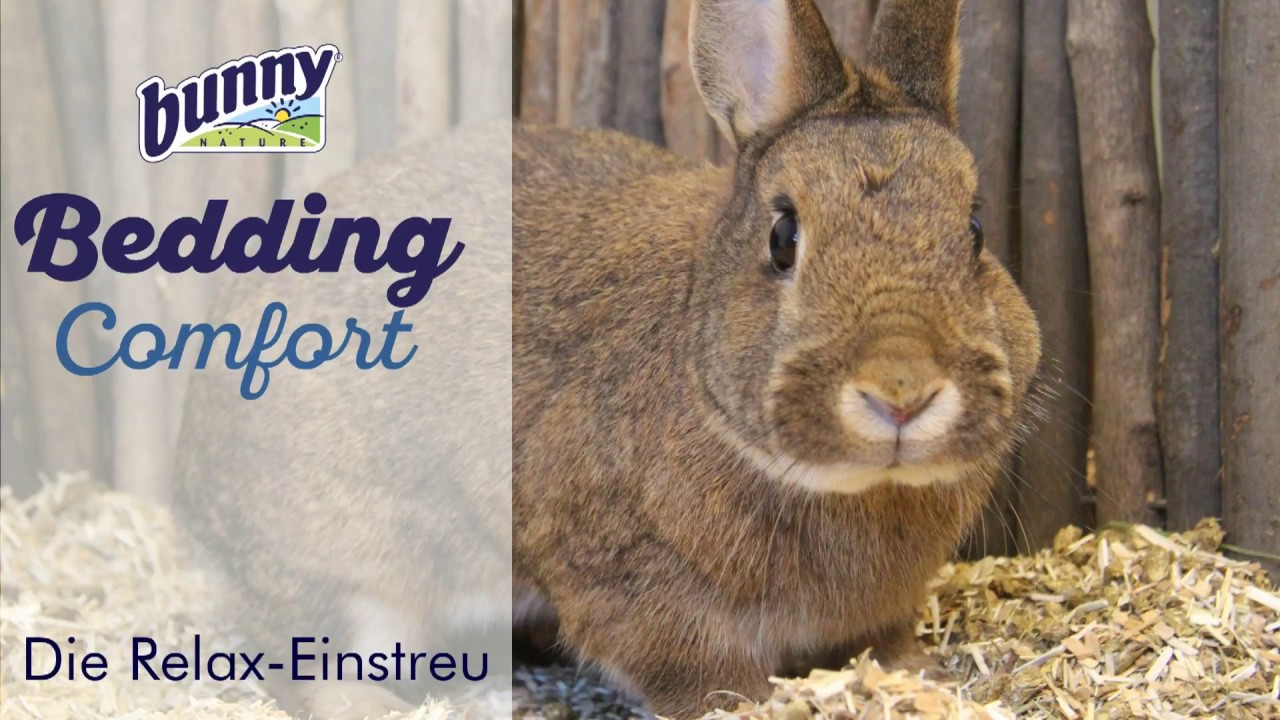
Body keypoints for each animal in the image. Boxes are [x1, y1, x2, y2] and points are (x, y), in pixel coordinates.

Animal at [175, 0, 1041, 717]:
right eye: (783, 237)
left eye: (974, 230)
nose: (902, 392)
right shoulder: (629, 583)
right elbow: (698, 673)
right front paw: (757, 705)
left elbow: (887, 642)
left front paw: (922, 675)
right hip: (350, 564)